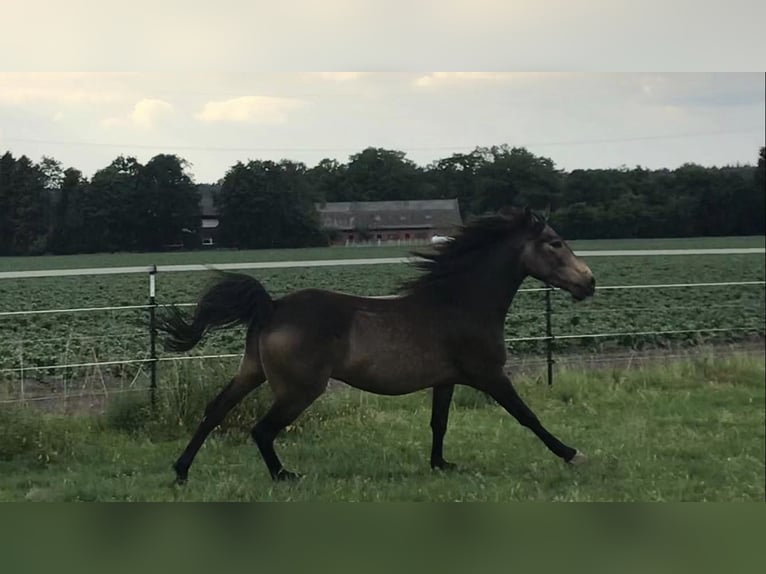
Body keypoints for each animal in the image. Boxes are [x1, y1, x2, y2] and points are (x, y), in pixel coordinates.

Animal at [159, 208, 596, 486]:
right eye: (555, 243)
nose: (588, 282)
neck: (460, 303)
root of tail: (273, 306)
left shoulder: (447, 380)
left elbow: (439, 423)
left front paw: (440, 464)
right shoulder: (489, 375)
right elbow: (528, 416)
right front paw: (572, 453)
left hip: (251, 372)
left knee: (216, 411)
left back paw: (181, 472)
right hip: (299, 390)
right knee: (261, 430)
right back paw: (284, 476)